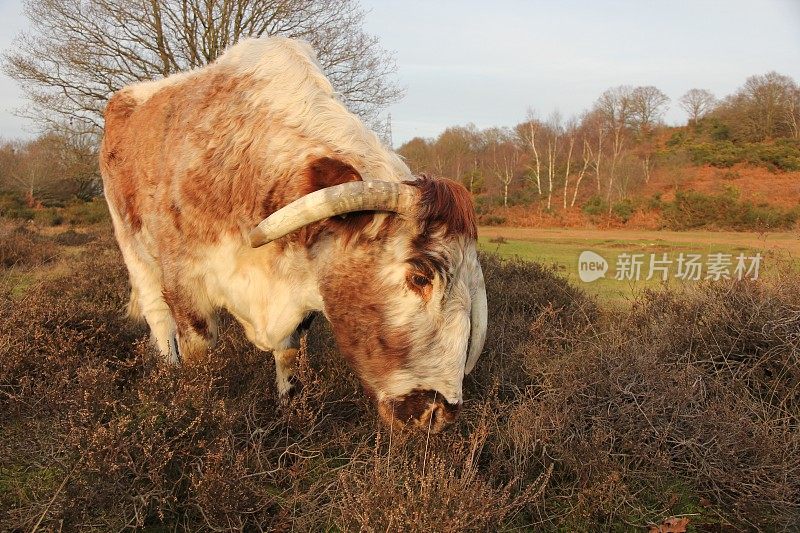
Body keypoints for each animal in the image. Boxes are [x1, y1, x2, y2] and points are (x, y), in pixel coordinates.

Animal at [100, 37, 488, 430]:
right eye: (420, 277)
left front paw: (289, 410)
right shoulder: (186, 285)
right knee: (157, 317)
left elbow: (288, 356)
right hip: (133, 248)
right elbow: (199, 355)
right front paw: (195, 406)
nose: (439, 412)